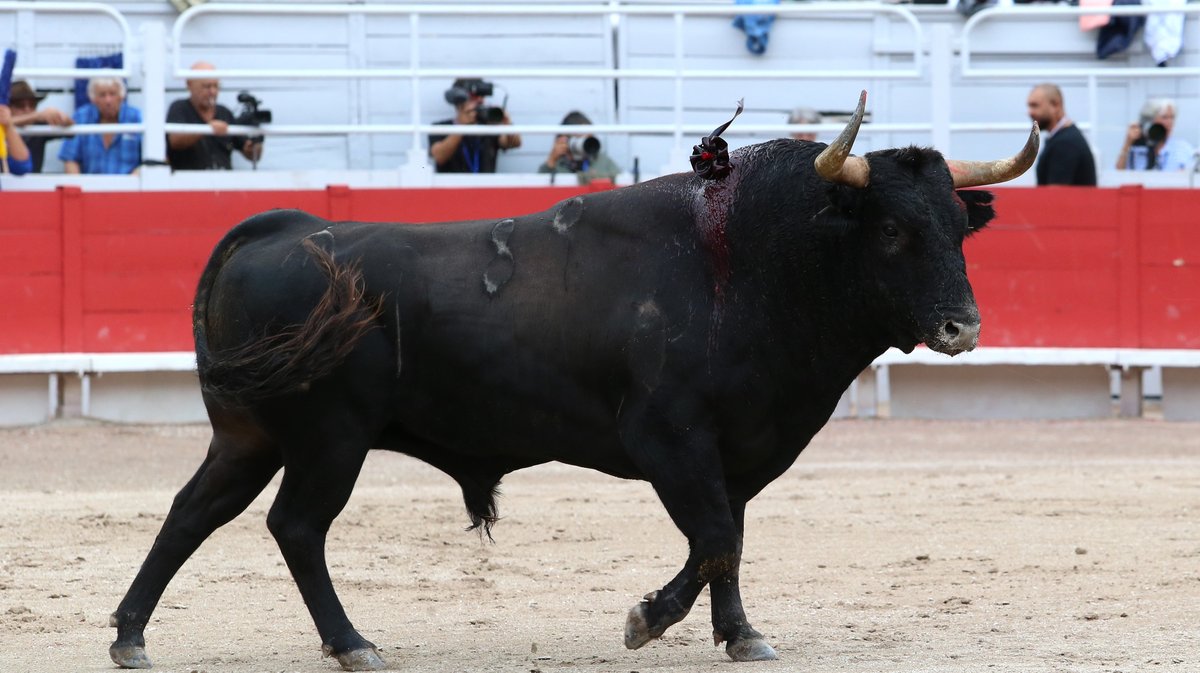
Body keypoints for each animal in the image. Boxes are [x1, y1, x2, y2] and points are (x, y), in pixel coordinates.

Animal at [108, 102, 1036, 667]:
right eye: (892, 230)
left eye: (959, 227)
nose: (962, 327)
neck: (746, 261)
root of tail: (283, 229)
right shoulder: (668, 438)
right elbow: (714, 538)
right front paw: (645, 620)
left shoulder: (736, 451)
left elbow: (729, 541)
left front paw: (741, 635)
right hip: (329, 438)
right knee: (297, 526)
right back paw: (351, 641)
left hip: (250, 433)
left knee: (192, 511)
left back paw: (129, 635)